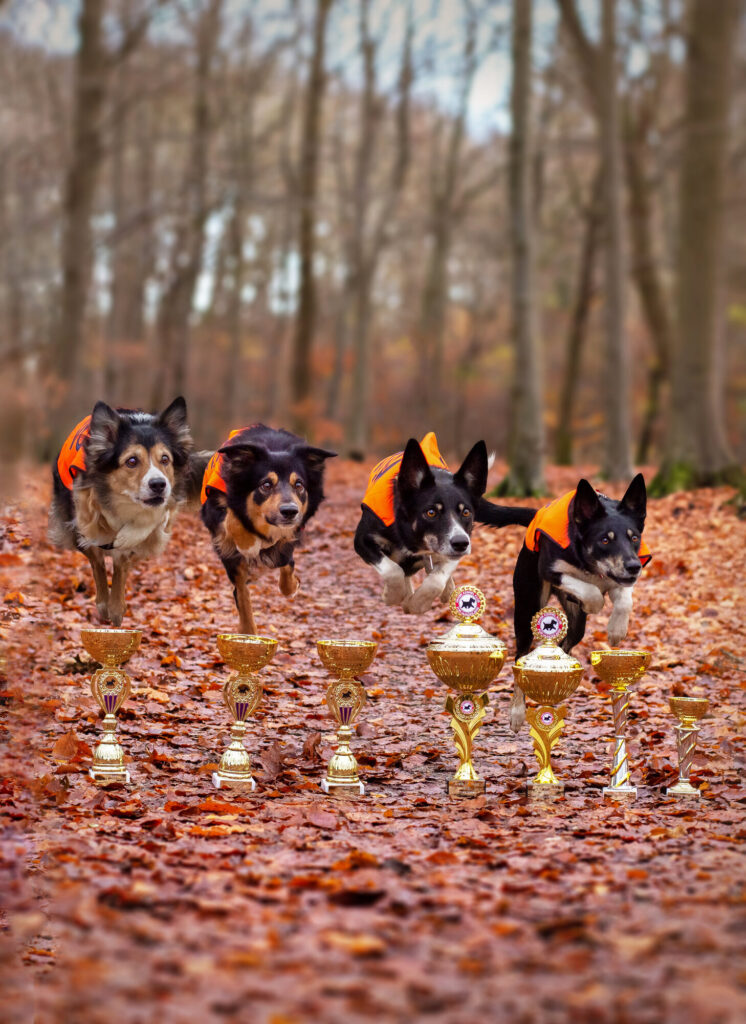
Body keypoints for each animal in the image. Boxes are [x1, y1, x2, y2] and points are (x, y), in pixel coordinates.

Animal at [200, 421, 335, 630]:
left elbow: (286, 565)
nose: (290, 511)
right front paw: (248, 544)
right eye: (266, 485)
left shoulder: (291, 534)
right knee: (241, 591)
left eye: (299, 485)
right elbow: (233, 519)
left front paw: (293, 584)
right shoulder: (215, 506)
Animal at [354, 434, 536, 614]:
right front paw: (392, 596)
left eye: (466, 512)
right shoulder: (362, 539)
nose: (461, 544)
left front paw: (417, 604)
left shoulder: (457, 546)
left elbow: (436, 580)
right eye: (431, 512)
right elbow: (393, 570)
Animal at [509, 477, 650, 729]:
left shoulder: (622, 580)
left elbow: (624, 600)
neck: (590, 563)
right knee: (519, 658)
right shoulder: (551, 570)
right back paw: (516, 712)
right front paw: (593, 604)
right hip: (527, 608)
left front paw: (616, 630)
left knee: (564, 645)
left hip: (576, 628)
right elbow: (592, 593)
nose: (634, 567)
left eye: (634, 538)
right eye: (605, 539)